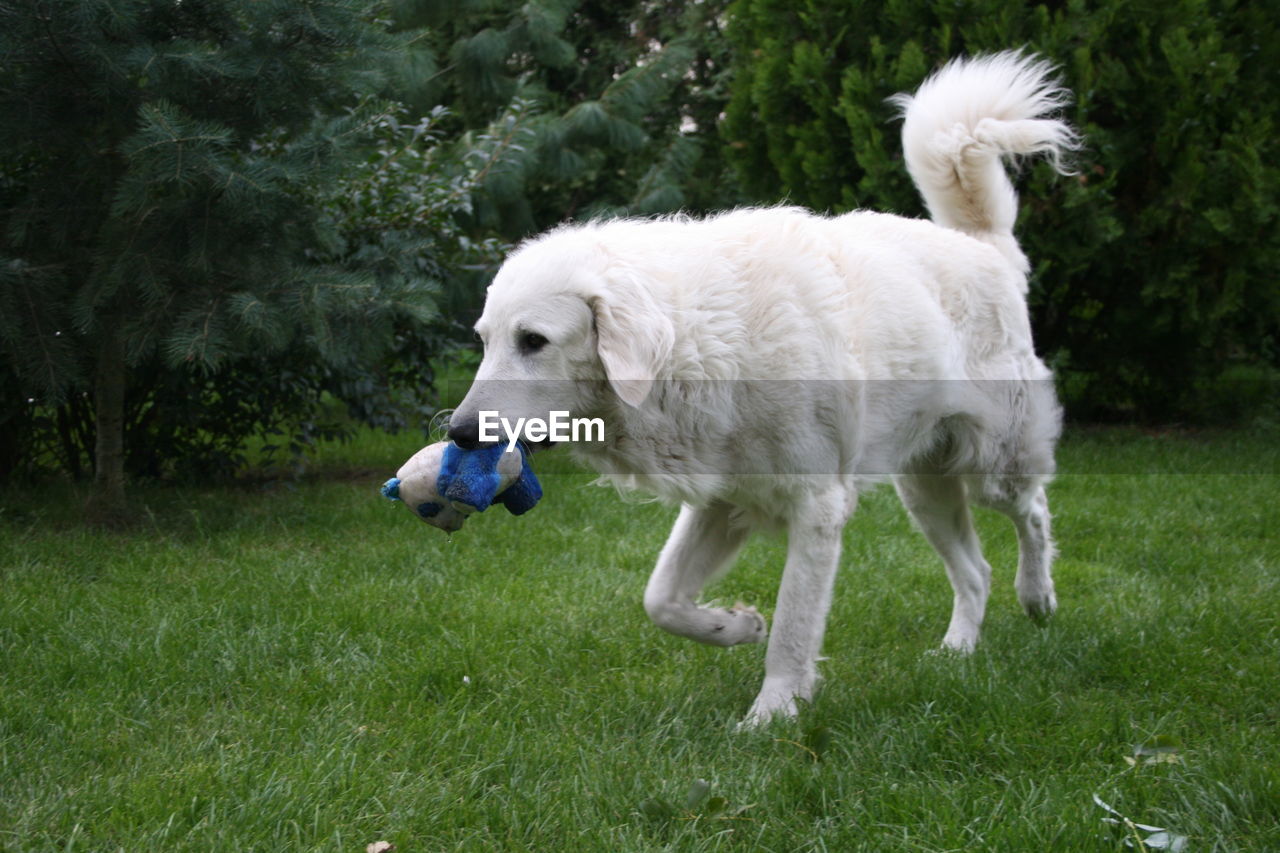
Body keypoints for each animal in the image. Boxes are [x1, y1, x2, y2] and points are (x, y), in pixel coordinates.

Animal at [450, 49, 1080, 722]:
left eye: (533, 341)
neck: (698, 341)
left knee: (1033, 512)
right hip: (925, 487)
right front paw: (735, 626)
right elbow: (661, 599)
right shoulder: (722, 500)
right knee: (975, 570)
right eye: (485, 341)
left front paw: (771, 714)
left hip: (993, 464)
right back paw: (957, 650)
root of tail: (984, 247)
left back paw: (1038, 597)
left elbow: (794, 629)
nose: (457, 433)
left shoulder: (816, 508)